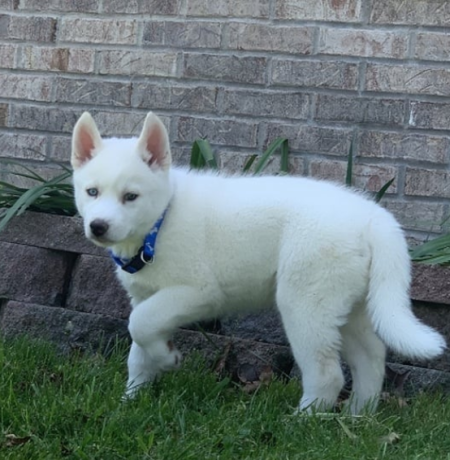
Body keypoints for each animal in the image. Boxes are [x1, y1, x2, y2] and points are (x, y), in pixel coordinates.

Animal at [72, 111, 444, 414]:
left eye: (130, 197)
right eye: (92, 192)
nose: (98, 226)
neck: (159, 223)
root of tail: (374, 216)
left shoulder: (198, 293)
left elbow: (139, 324)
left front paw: (168, 359)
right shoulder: (146, 296)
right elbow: (139, 345)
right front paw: (132, 398)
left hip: (305, 305)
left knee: (327, 374)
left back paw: (303, 422)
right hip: (349, 307)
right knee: (371, 359)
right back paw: (357, 417)